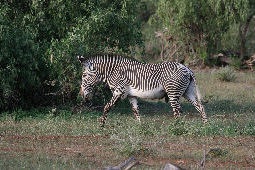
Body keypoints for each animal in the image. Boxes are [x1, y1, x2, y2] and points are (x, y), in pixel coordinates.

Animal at [78, 53, 208, 125]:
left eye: (84, 76)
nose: (81, 95)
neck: (113, 72)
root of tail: (187, 68)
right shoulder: (131, 95)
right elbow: (136, 111)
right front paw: (140, 127)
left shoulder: (118, 91)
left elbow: (107, 107)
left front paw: (101, 125)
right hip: (187, 92)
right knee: (200, 107)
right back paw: (205, 125)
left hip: (173, 93)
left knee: (177, 112)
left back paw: (176, 128)